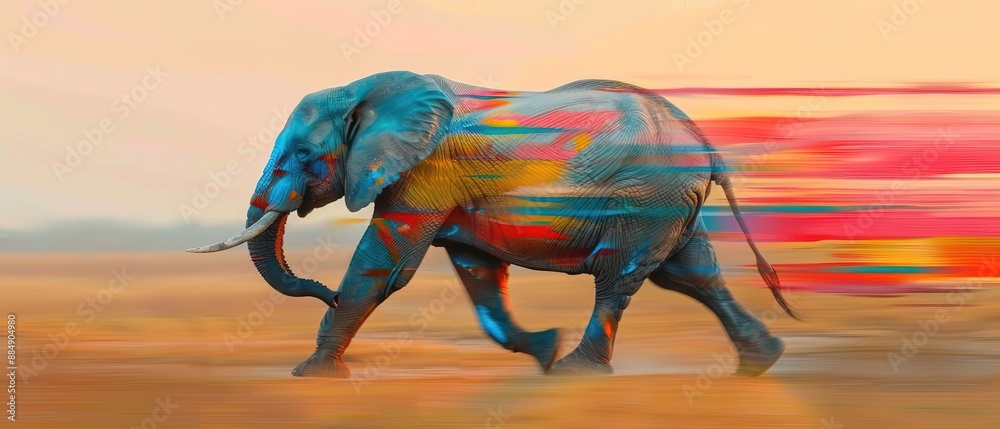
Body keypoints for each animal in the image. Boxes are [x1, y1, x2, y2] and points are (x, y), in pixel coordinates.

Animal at [189, 71, 797, 378]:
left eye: (301, 155)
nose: (323, 293)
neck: (366, 92)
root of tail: (703, 139)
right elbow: (479, 273)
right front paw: (542, 346)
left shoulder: (426, 171)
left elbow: (385, 265)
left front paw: (312, 373)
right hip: (669, 201)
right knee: (692, 273)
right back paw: (761, 362)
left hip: (646, 199)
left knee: (619, 278)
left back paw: (577, 372)